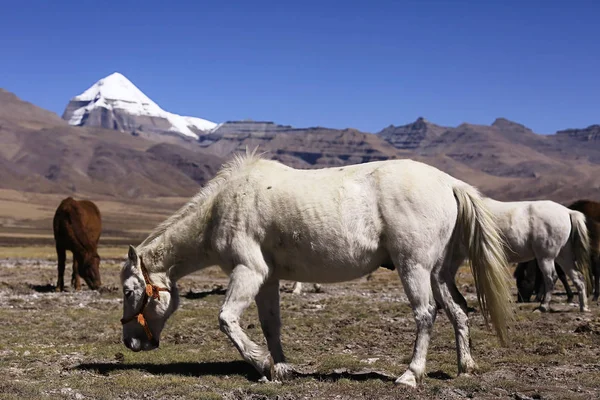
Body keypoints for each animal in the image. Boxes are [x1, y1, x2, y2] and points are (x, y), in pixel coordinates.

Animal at [118, 153, 510, 388]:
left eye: (128, 291)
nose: (131, 342)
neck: (219, 210)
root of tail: (450, 183)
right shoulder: (267, 278)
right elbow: (270, 324)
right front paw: (279, 368)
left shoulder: (249, 271)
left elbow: (226, 319)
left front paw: (261, 363)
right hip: (439, 272)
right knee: (458, 311)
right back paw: (465, 367)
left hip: (414, 267)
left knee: (426, 313)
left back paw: (410, 376)